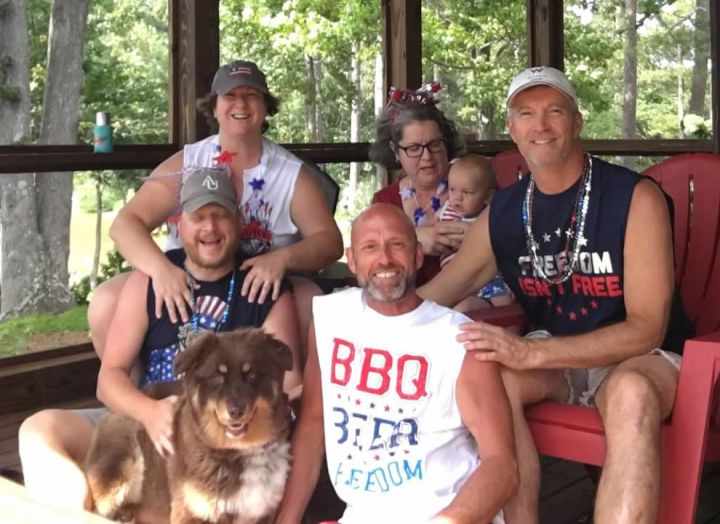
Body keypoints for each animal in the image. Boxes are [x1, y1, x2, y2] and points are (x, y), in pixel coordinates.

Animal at [84, 328, 294, 523]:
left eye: (252, 374)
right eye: (217, 376)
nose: (236, 411)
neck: (238, 451)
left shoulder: (264, 513)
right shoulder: (189, 512)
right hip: (120, 469)